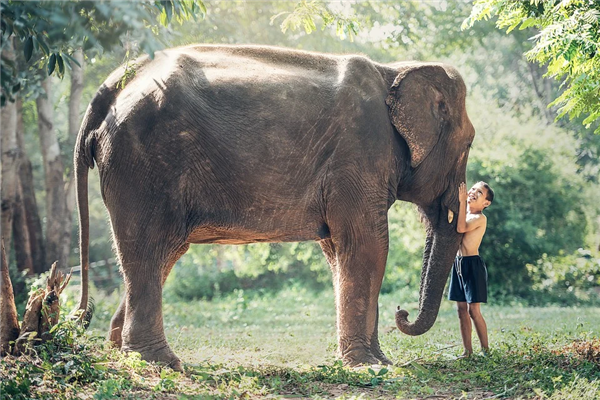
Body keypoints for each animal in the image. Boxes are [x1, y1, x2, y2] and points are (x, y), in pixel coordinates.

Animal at [74, 43, 474, 368]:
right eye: (469, 143)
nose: (402, 312)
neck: (393, 70)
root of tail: (113, 85)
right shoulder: (359, 154)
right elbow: (368, 246)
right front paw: (370, 366)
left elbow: (338, 251)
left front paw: (377, 361)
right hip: (142, 163)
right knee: (148, 246)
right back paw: (160, 363)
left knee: (163, 253)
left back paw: (120, 351)